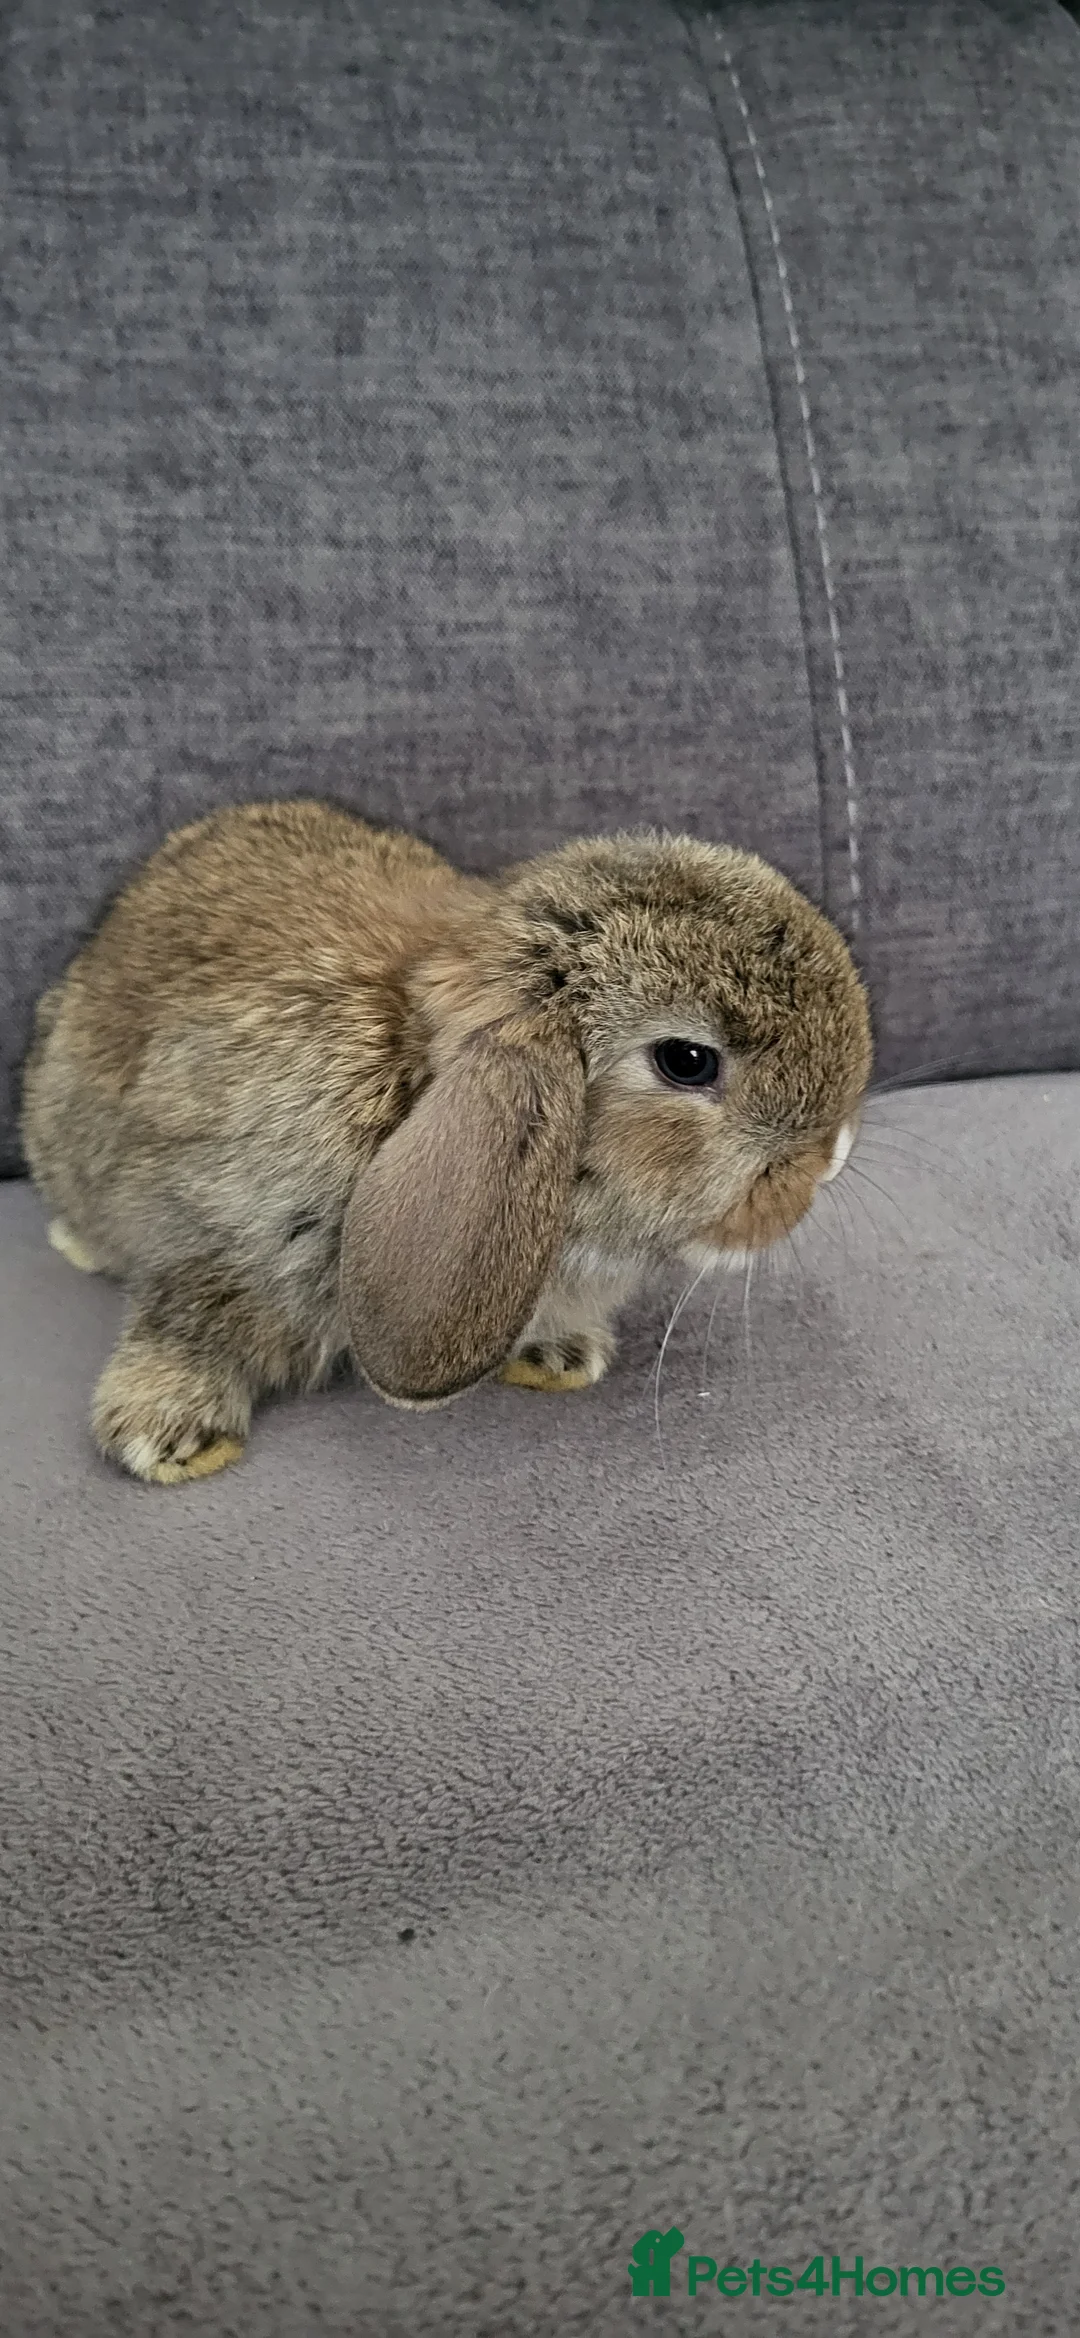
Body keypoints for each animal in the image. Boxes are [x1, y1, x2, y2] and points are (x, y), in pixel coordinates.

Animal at [20, 798, 872, 1485]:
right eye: (687, 1060)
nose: (832, 1155)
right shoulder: (218, 1229)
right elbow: (185, 1317)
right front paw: (170, 1438)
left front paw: (564, 1357)